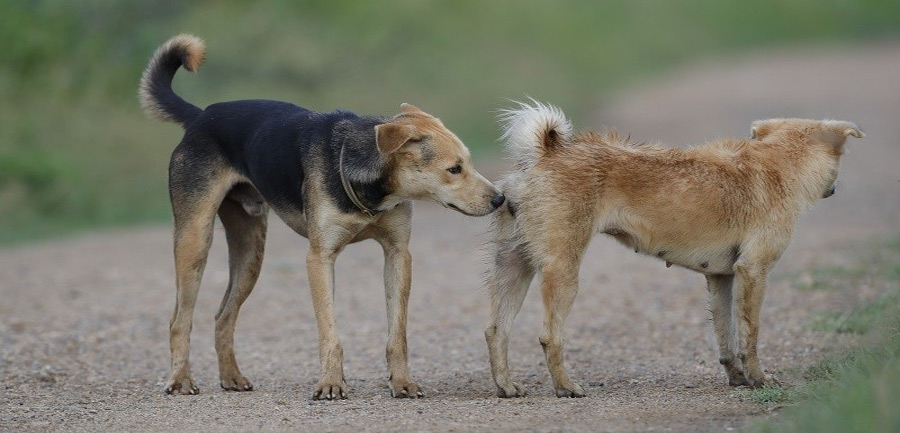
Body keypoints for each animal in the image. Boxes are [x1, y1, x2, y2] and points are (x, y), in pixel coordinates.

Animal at [142, 35, 506, 400]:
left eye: (469, 163)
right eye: (454, 169)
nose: (500, 198)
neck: (370, 189)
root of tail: (201, 116)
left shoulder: (398, 254)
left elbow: (397, 333)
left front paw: (402, 382)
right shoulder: (320, 258)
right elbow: (330, 332)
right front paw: (330, 384)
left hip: (250, 254)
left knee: (223, 316)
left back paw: (232, 377)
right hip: (195, 240)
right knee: (180, 319)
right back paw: (180, 380)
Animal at [486, 99, 864, 396]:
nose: (834, 189)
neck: (777, 161)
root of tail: (545, 152)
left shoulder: (722, 278)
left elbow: (726, 339)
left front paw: (737, 378)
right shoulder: (754, 271)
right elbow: (750, 335)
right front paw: (758, 379)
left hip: (513, 267)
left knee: (496, 330)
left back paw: (506, 386)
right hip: (563, 271)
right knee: (550, 336)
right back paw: (566, 387)